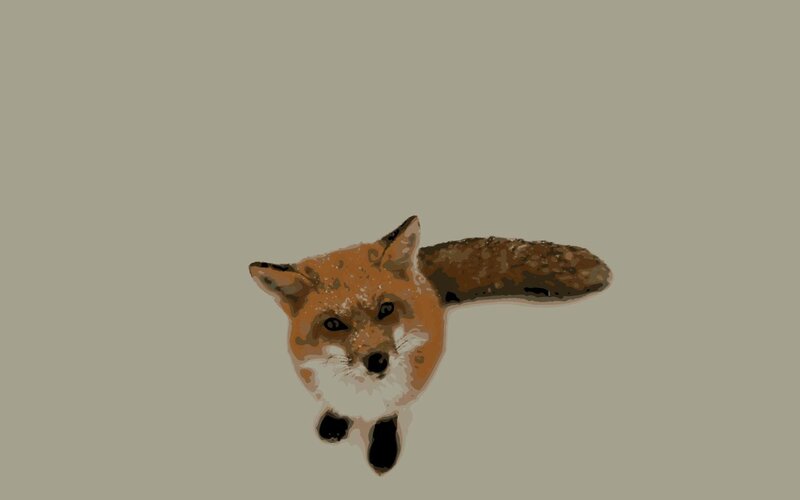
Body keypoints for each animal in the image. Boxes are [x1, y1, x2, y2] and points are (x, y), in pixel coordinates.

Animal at [248, 215, 611, 474]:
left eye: (386, 309)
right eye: (334, 325)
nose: (377, 360)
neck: (364, 394)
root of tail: (420, 271)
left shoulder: (411, 379)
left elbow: (388, 413)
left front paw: (382, 449)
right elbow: (335, 403)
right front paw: (334, 421)